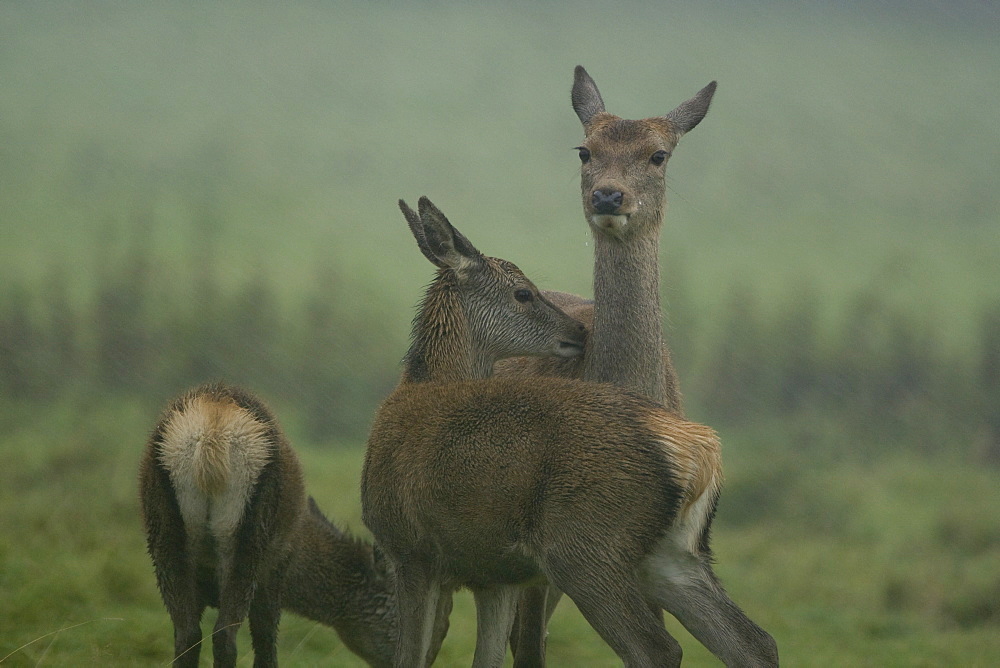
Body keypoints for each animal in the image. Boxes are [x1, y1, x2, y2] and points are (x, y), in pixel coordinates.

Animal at [139, 384, 452, 664]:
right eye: (393, 601)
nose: (429, 656)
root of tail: (212, 431)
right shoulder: (275, 569)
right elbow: (266, 642)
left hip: (164, 533)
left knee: (187, 635)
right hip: (248, 542)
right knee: (224, 636)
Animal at [360, 196, 772, 664]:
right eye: (523, 292)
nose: (579, 330)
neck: (419, 386)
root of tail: (699, 449)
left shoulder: (409, 548)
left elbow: (409, 658)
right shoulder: (494, 574)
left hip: (584, 546)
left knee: (659, 648)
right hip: (674, 553)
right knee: (754, 642)